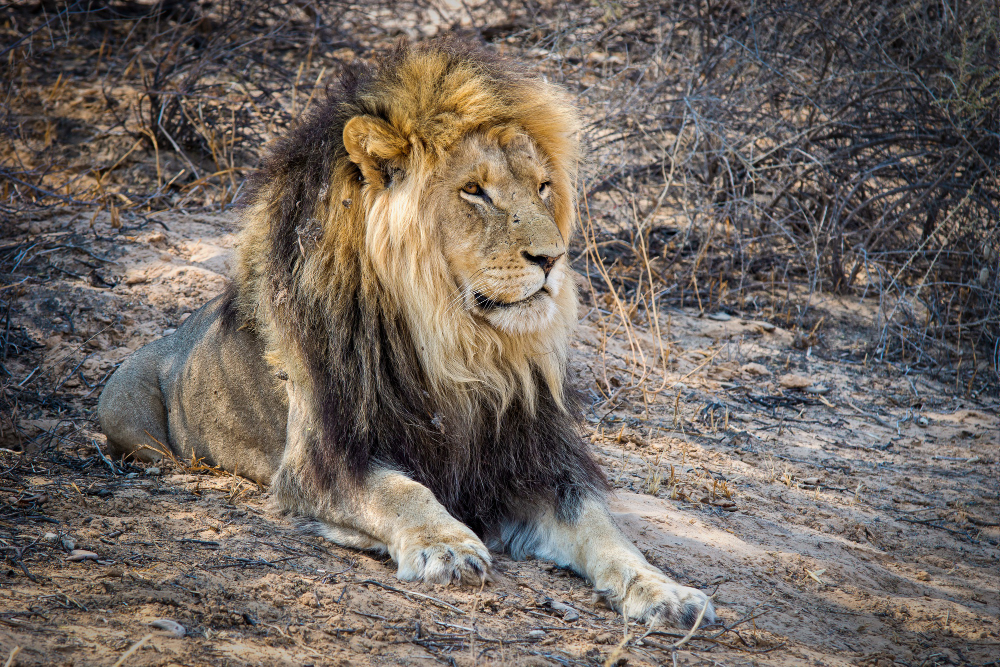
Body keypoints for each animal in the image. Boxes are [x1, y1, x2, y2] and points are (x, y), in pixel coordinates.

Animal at [97, 43, 716, 632]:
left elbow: (603, 529)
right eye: (475, 191)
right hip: (125, 409)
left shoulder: (532, 460)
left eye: (543, 187)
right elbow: (400, 492)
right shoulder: (325, 458)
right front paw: (447, 546)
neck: (458, 348)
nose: (552, 259)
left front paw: (666, 592)